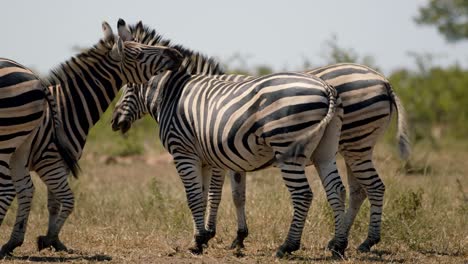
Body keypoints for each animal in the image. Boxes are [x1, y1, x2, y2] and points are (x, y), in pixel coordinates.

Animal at [110, 50, 344, 258]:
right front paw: (204, 237)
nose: (113, 122)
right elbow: (210, 196)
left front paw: (200, 241)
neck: (171, 95)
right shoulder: (207, 159)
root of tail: (325, 87)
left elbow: (197, 197)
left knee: (303, 194)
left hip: (288, 147)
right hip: (325, 151)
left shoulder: (184, 153)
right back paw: (338, 246)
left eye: (128, 87)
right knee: (337, 189)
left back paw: (287, 246)